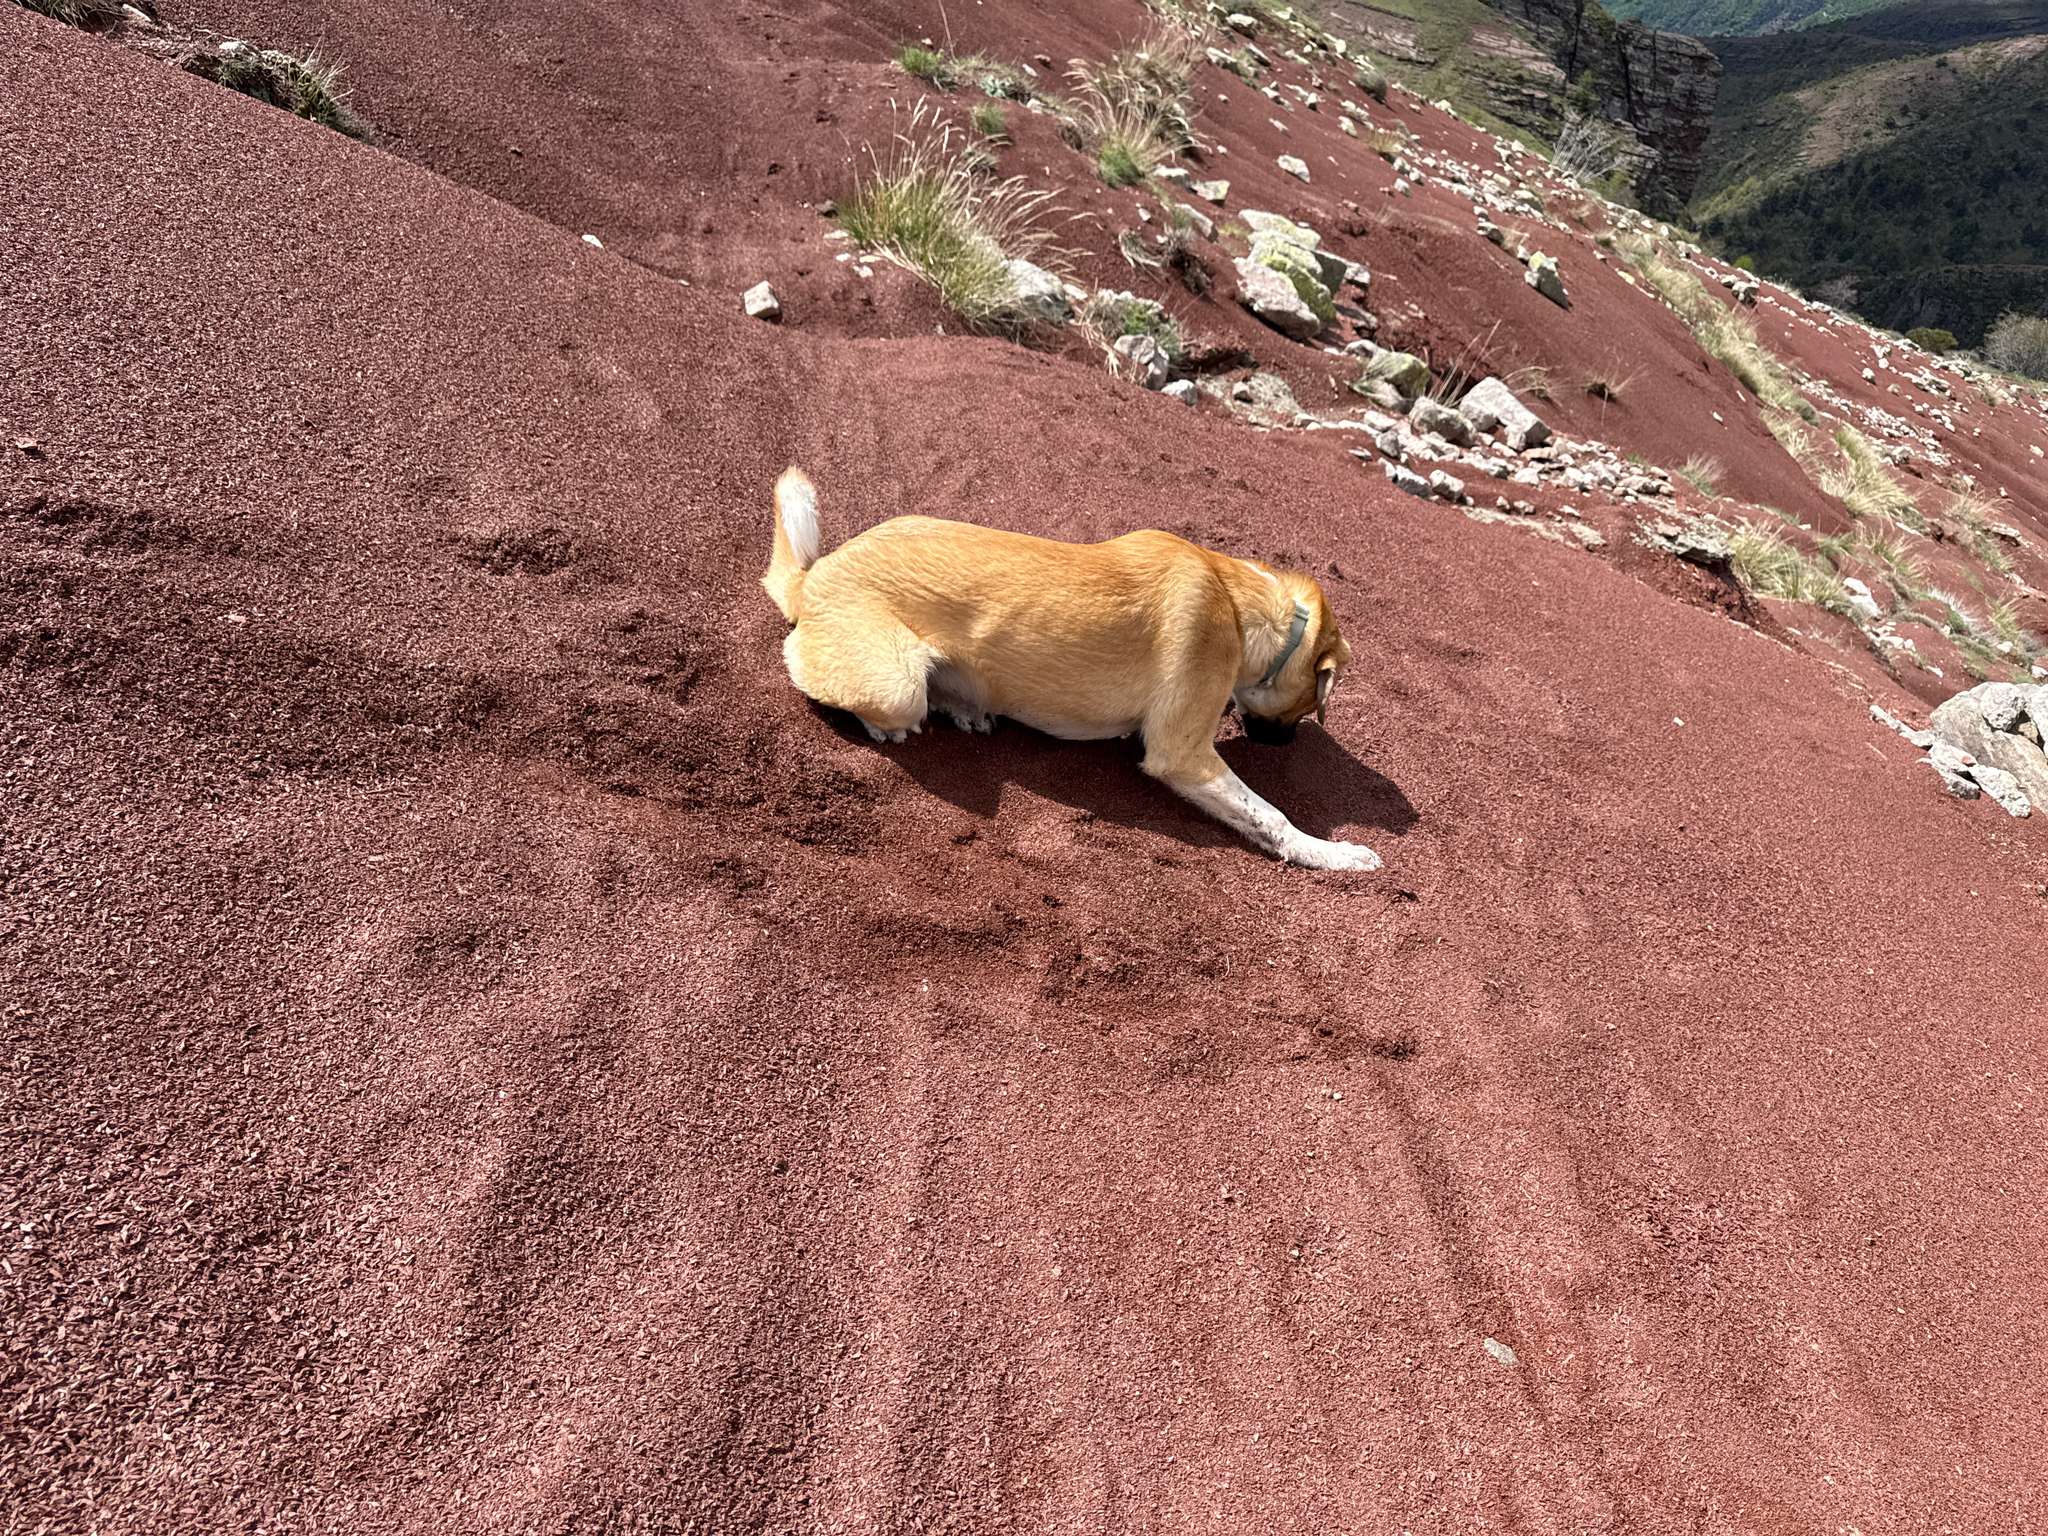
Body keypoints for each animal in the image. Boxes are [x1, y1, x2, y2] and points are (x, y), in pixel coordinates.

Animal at [762, 467, 1381, 871]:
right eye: (1310, 706)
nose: (1285, 744)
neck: (1237, 600)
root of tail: (814, 577)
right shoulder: (1182, 755)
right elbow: (1272, 816)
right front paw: (1332, 853)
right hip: (895, 685)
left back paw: (966, 707)